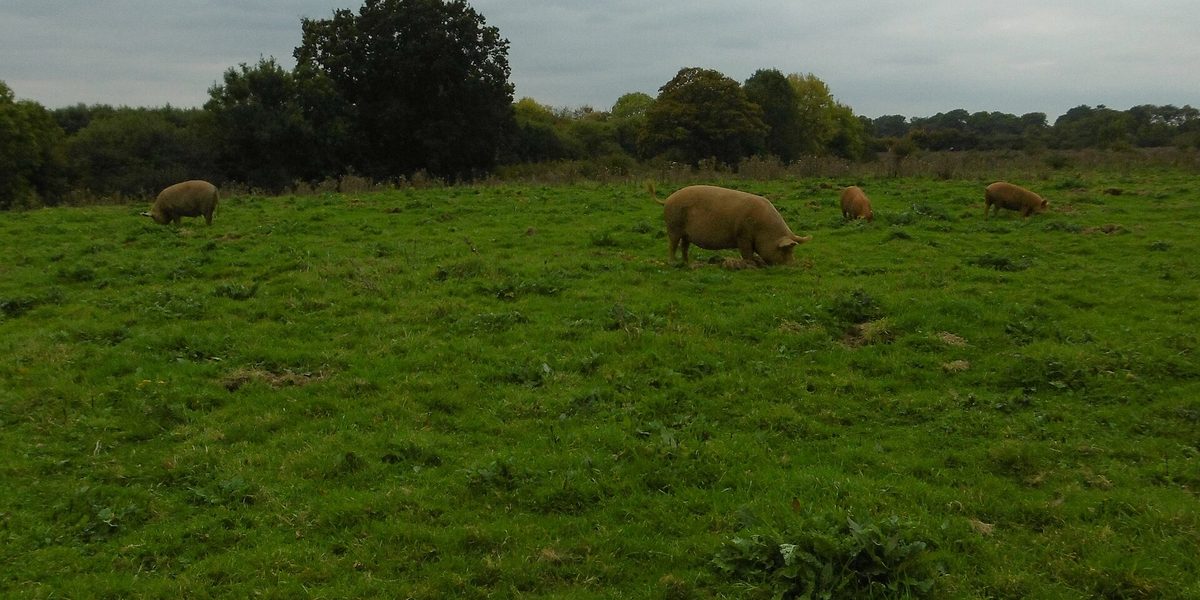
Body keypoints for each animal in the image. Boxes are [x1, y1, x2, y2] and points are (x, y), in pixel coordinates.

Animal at [653, 184, 811, 266]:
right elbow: (746, 252)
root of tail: (667, 199)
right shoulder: (743, 235)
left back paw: (687, 263)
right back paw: (673, 262)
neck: (763, 228)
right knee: (672, 245)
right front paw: (751, 264)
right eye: (785, 250)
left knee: (684, 246)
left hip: (686, 234)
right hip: (674, 226)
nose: (792, 266)